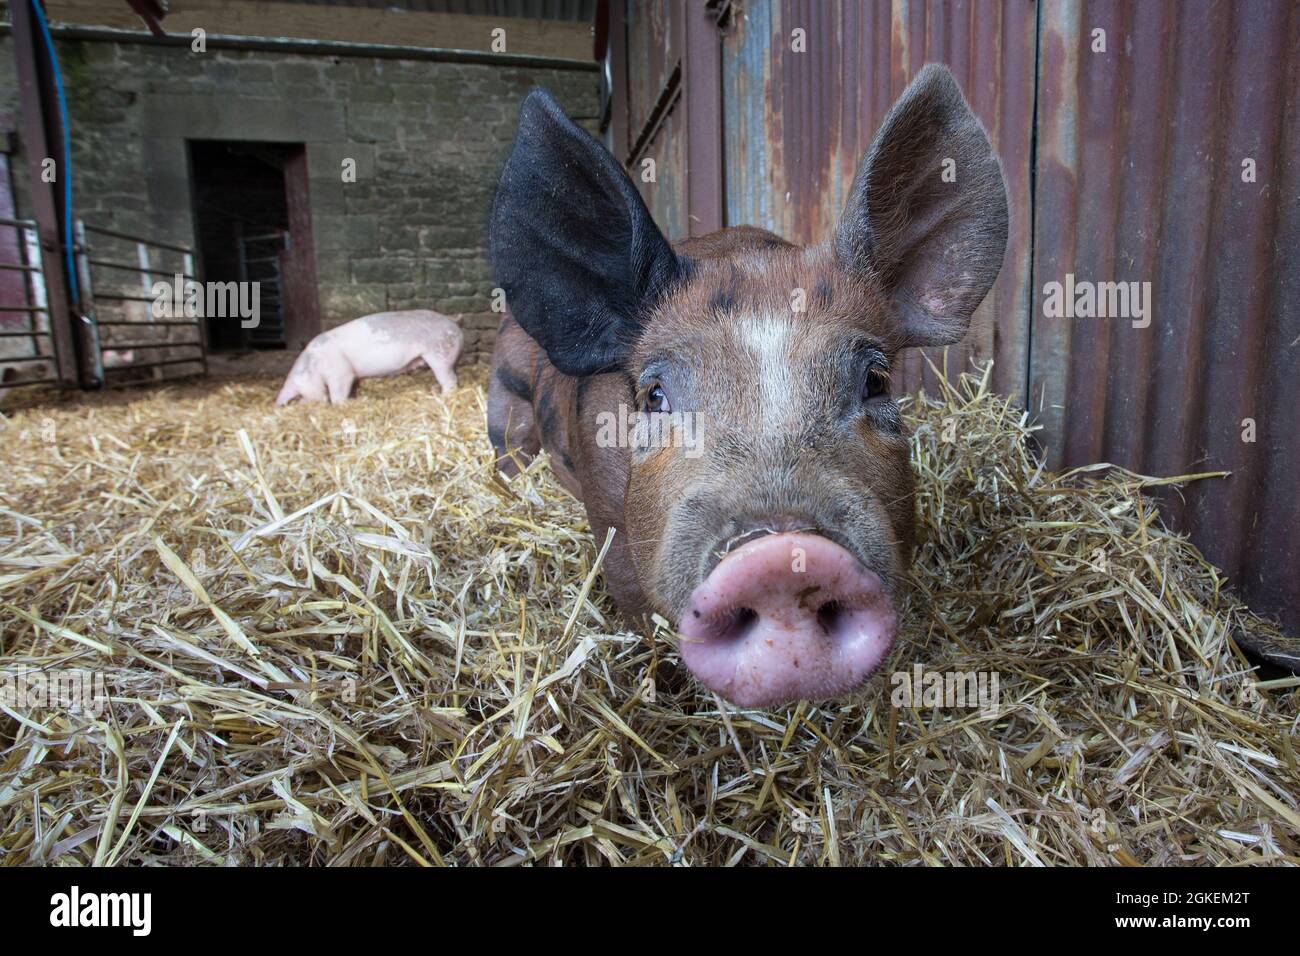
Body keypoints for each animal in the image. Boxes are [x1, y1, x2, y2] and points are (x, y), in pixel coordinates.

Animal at [274, 310, 462, 408]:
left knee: (449, 380)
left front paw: (340, 405)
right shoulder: (352, 377)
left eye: (298, 396)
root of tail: (451, 320)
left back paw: (444, 397)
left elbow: (338, 393)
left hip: (439, 354)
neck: (314, 366)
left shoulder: (341, 373)